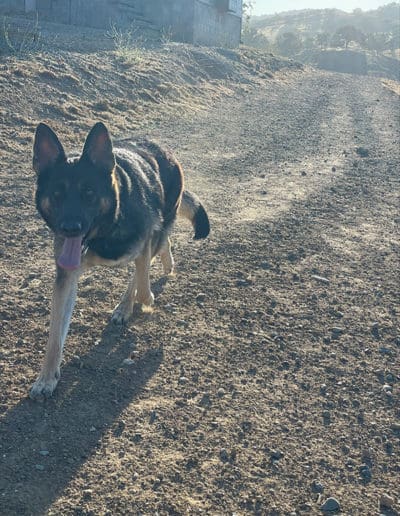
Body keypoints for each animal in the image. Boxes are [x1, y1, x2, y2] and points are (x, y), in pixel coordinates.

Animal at [29, 121, 209, 400]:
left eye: (89, 193)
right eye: (57, 194)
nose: (70, 228)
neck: (104, 231)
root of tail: (162, 148)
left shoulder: (144, 240)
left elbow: (143, 283)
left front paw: (143, 302)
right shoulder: (66, 276)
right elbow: (55, 334)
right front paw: (47, 377)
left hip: (163, 219)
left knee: (157, 247)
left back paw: (130, 302)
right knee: (162, 245)